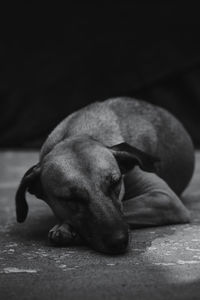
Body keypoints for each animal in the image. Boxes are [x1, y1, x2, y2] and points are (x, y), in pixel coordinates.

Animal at [15, 98, 195, 253]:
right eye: (70, 199)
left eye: (115, 183)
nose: (119, 241)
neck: (77, 133)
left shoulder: (164, 198)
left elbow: (127, 206)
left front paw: (65, 227)